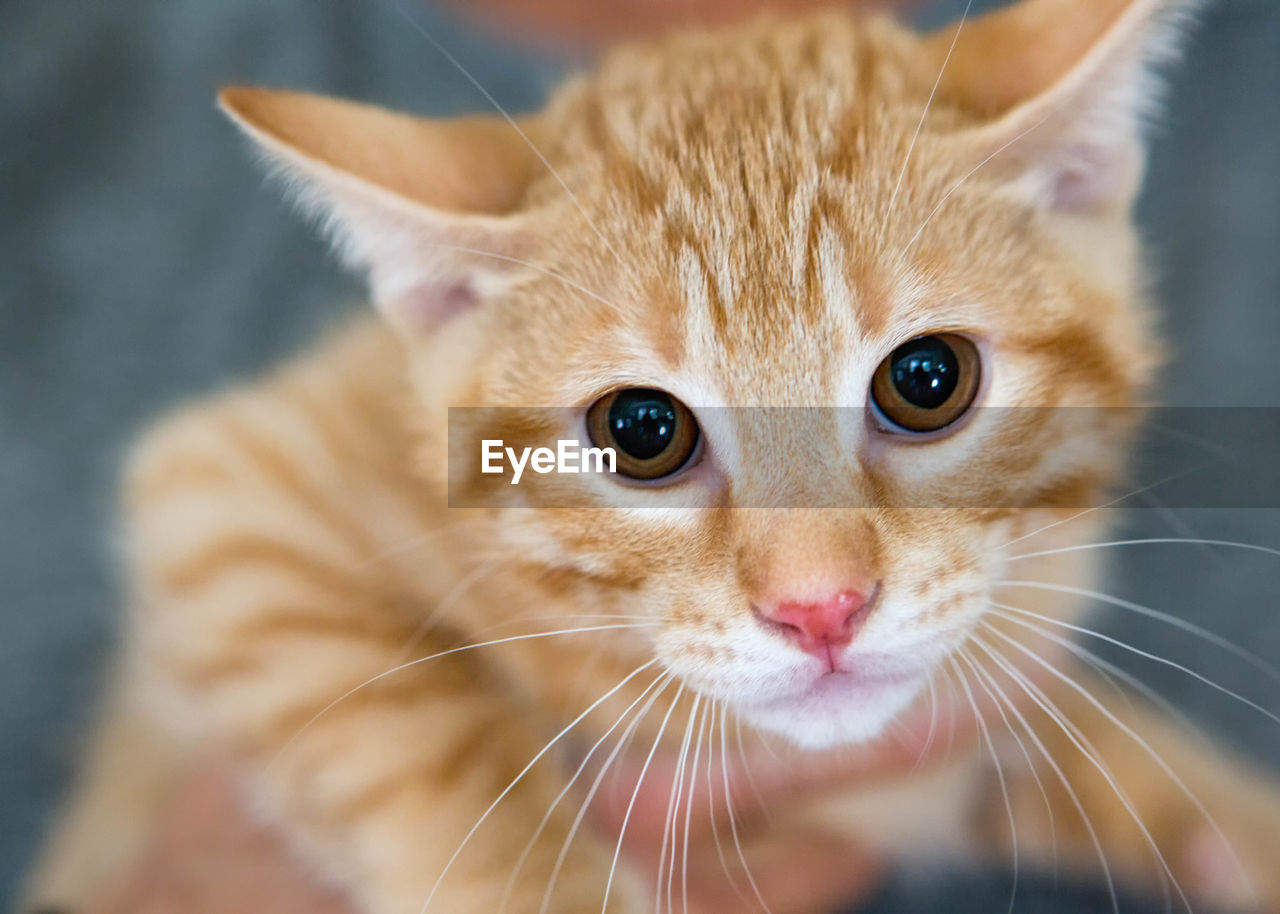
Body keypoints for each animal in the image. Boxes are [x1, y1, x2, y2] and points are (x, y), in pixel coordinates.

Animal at [22, 0, 1280, 906]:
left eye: (926, 381)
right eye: (640, 431)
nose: (821, 609)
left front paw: (1232, 821)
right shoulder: (225, 484)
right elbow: (422, 728)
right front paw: (534, 880)